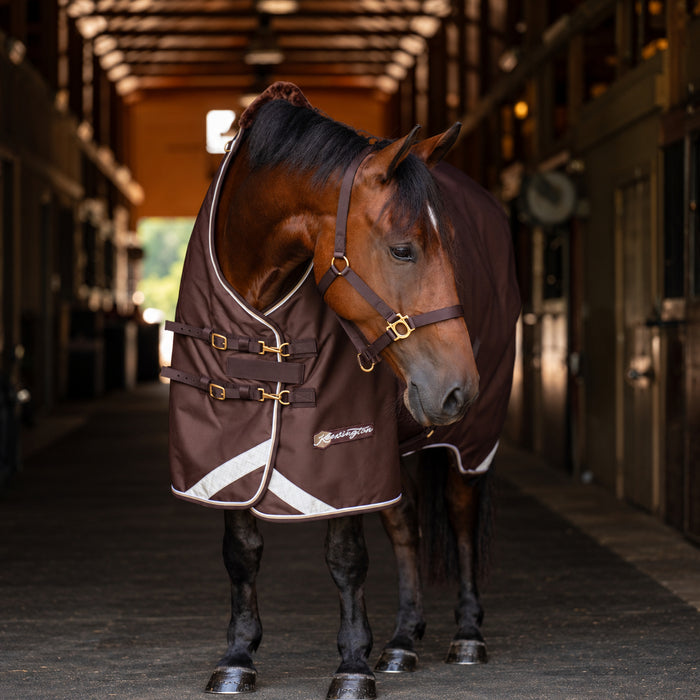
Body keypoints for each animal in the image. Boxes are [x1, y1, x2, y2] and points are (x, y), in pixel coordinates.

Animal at [164, 82, 519, 699]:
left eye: (450, 244)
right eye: (403, 248)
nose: (458, 389)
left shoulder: (344, 450)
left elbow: (346, 555)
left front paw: (352, 666)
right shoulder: (226, 443)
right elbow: (241, 552)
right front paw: (237, 658)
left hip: (469, 439)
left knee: (460, 513)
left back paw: (467, 635)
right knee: (406, 527)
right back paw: (401, 644)